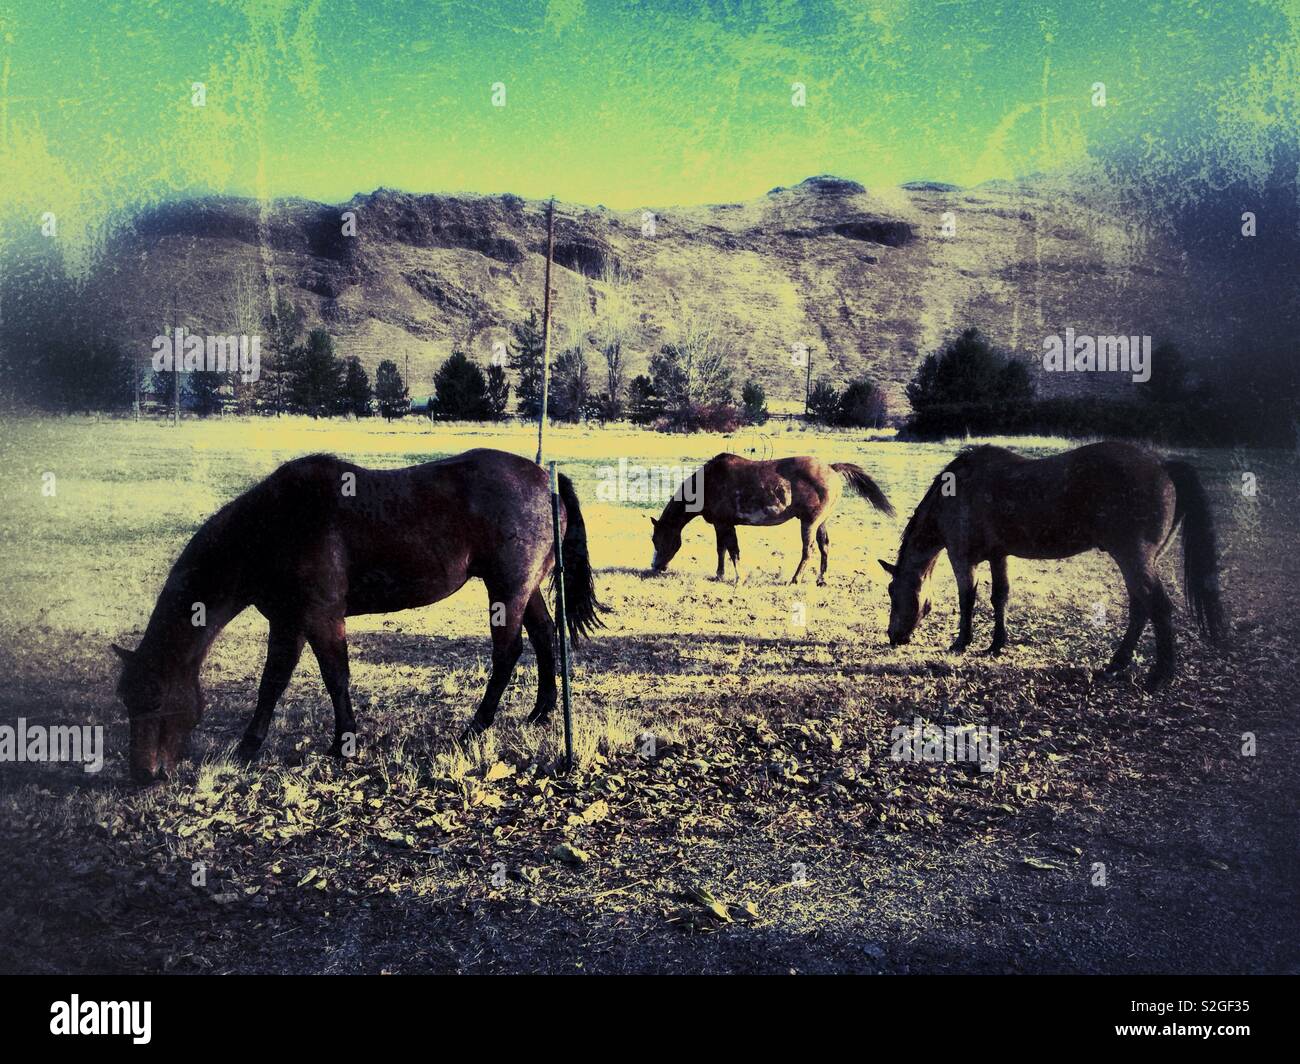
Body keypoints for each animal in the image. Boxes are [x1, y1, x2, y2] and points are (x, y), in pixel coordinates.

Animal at [112, 449, 602, 783]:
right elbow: (272, 683)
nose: (142, 775)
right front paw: (248, 746)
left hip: (507, 589)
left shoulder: (322, 618)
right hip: (526, 589)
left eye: (156, 699)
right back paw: (540, 712)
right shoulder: (287, 622)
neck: (276, 524)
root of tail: (545, 481)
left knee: (508, 653)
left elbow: (335, 677)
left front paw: (343, 743)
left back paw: (476, 726)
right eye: (126, 700)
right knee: (543, 637)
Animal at [650, 453, 894, 584]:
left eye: (657, 539)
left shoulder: (725, 524)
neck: (708, 482)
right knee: (824, 547)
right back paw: (821, 579)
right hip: (821, 523)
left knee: (809, 550)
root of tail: (831, 468)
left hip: (809, 522)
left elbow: (732, 550)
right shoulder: (722, 525)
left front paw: (738, 577)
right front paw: (719, 575)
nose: (655, 567)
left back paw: (795, 579)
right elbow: (722, 550)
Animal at [879, 441, 1227, 688]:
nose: (893, 636)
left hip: (1133, 558)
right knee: (1140, 609)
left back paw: (1159, 675)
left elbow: (968, 601)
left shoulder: (963, 559)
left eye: (893, 591)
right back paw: (1116, 663)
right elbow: (999, 598)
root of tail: (1162, 464)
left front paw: (961, 643)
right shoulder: (999, 556)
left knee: (1158, 607)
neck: (955, 490)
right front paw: (995, 645)